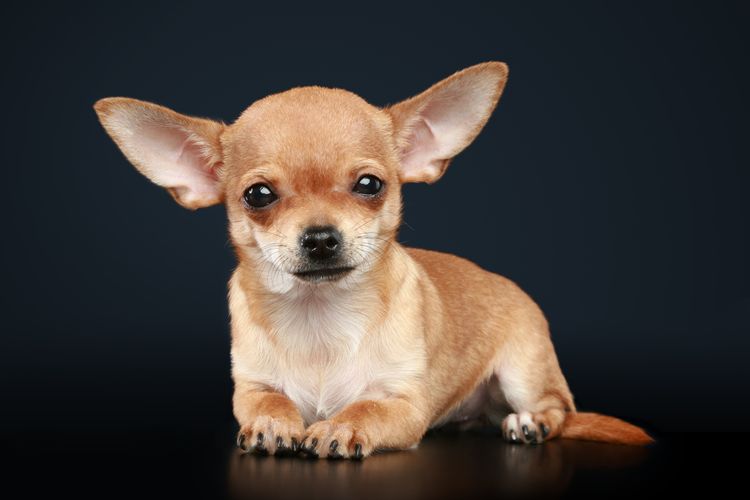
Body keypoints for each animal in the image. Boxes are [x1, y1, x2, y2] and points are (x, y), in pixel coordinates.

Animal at [97, 61, 656, 458]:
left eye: (369, 185)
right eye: (258, 195)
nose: (321, 237)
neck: (320, 317)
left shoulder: (404, 405)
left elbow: (367, 408)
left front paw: (341, 426)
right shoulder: (251, 388)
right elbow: (270, 400)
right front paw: (274, 422)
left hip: (525, 369)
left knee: (558, 410)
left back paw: (531, 423)